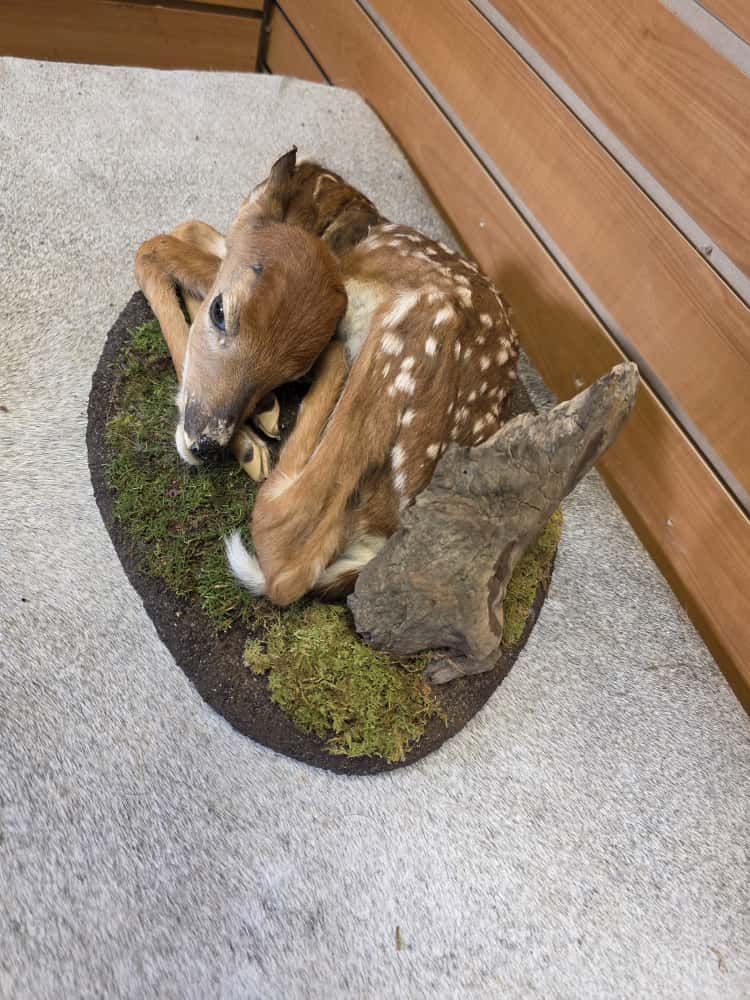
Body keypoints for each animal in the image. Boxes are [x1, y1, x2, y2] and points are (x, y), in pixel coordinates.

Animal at [135, 148, 519, 607]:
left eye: (220, 309)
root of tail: (388, 528)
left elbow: (153, 246)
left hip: (409, 334)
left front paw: (249, 437)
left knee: (289, 549)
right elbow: (189, 228)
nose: (208, 444)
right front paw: (258, 419)